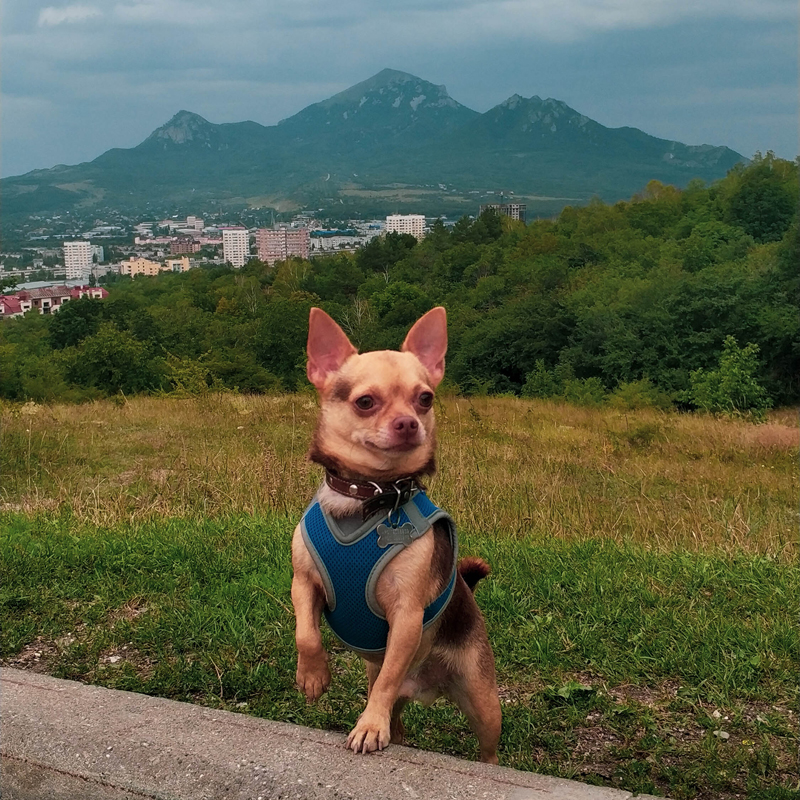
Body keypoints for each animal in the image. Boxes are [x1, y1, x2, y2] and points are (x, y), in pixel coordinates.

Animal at [288, 306, 500, 764]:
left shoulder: (406, 617)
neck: (369, 497)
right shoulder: (303, 583)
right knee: (394, 711)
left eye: (425, 398)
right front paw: (313, 676)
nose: (408, 422)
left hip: (482, 700)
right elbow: (306, 633)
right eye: (365, 402)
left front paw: (368, 728)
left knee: (484, 746)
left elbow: (386, 682)